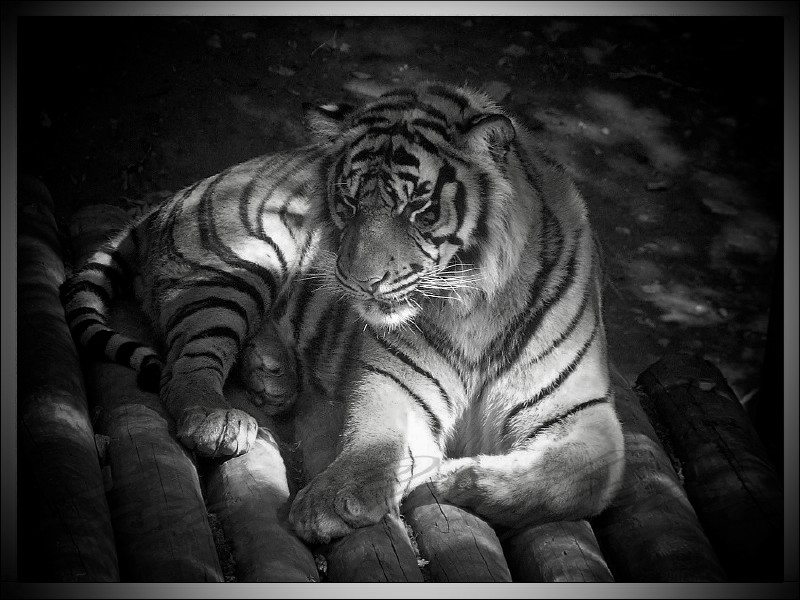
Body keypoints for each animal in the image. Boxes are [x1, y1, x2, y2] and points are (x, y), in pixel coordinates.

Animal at [61, 80, 625, 544]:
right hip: (240, 265)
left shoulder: (584, 412)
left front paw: (451, 478)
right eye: (350, 203)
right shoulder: (395, 383)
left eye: (418, 210)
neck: (473, 310)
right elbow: (374, 442)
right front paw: (333, 502)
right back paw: (218, 420)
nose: (358, 280)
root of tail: (174, 195)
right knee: (184, 365)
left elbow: (575, 480)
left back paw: (271, 374)